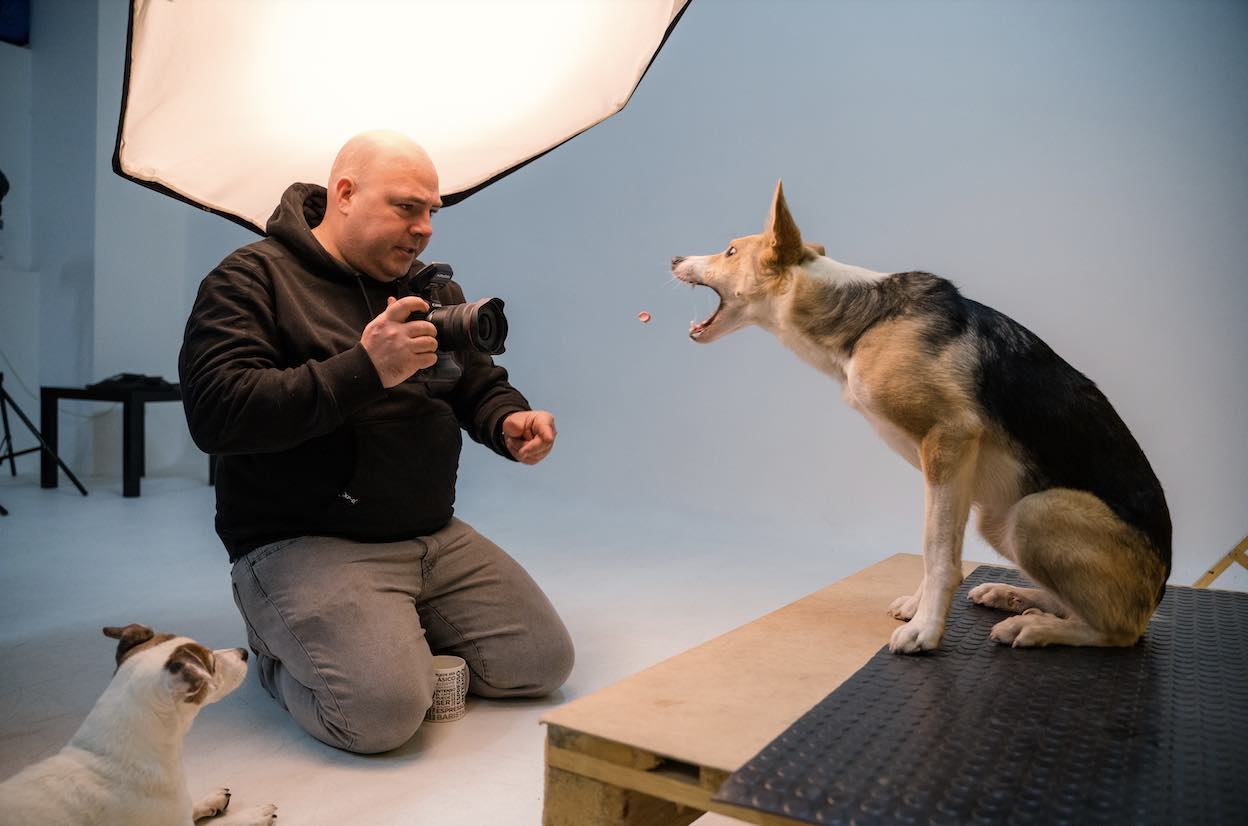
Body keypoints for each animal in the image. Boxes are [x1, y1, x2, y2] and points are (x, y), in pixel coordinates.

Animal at [673, 180, 1168, 653]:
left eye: (731, 251)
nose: (675, 257)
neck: (865, 322)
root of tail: (1159, 590)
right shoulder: (951, 470)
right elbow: (936, 549)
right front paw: (920, 608)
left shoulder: (949, 441)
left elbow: (938, 553)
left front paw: (926, 631)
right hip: (997, 517)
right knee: (1078, 605)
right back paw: (1017, 598)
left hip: (1033, 513)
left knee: (1119, 631)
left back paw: (1039, 627)